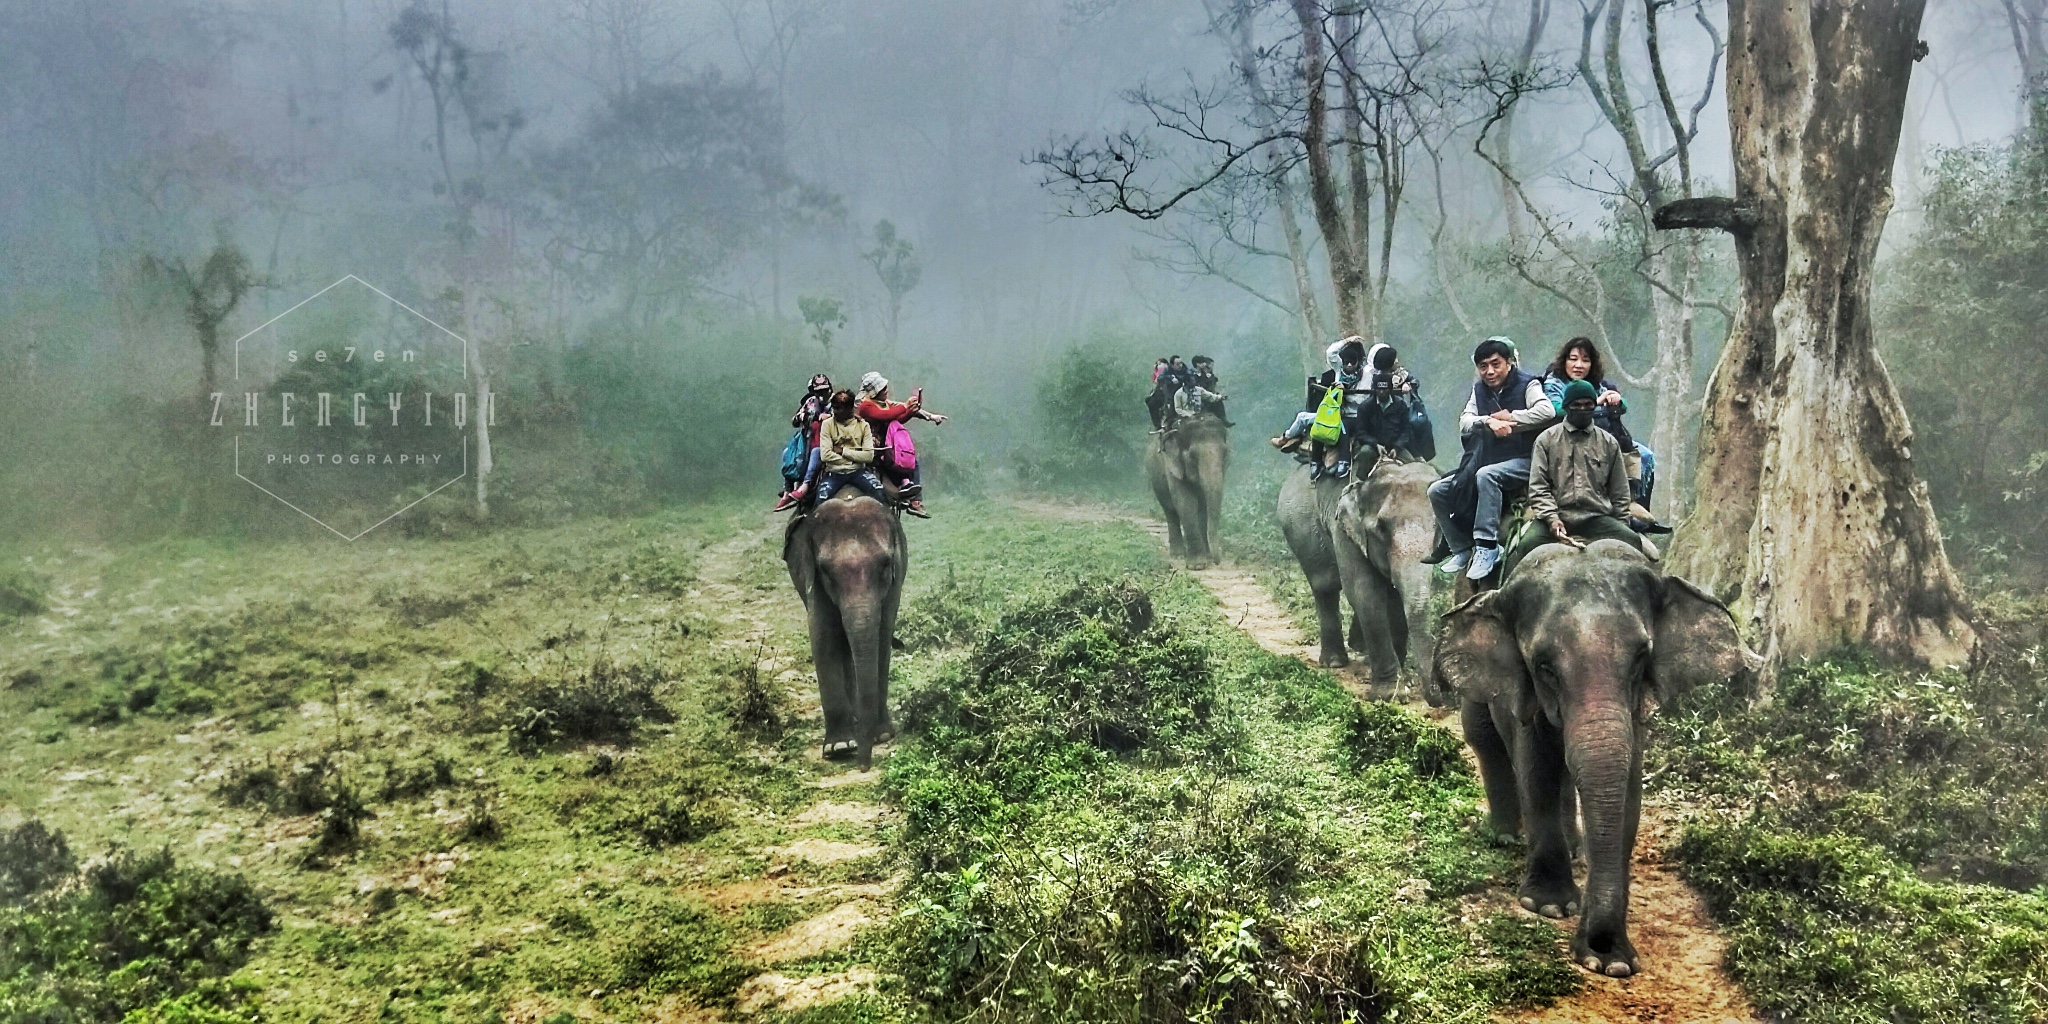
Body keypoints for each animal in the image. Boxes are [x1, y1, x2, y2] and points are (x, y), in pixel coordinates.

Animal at [786, 489, 909, 770]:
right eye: (826, 570)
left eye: (885, 564)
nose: (864, 766)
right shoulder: (811, 575)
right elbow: (822, 635)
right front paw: (840, 747)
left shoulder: (896, 578)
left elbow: (882, 634)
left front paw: (881, 735)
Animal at [1146, 409, 1220, 569]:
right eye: (1192, 456)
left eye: (1226, 453)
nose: (1216, 561)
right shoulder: (1171, 465)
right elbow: (1185, 502)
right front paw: (1197, 565)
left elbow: (1203, 506)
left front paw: (1206, 558)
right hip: (1156, 479)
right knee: (1170, 511)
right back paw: (1178, 554)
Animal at [1433, 536, 1753, 974]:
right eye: (1544, 667)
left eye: (1641, 657)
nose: (1598, 946)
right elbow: (1537, 770)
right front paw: (1547, 907)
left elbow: (1627, 788)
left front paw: (1614, 963)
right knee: (1481, 732)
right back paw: (1504, 835)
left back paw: (1574, 848)